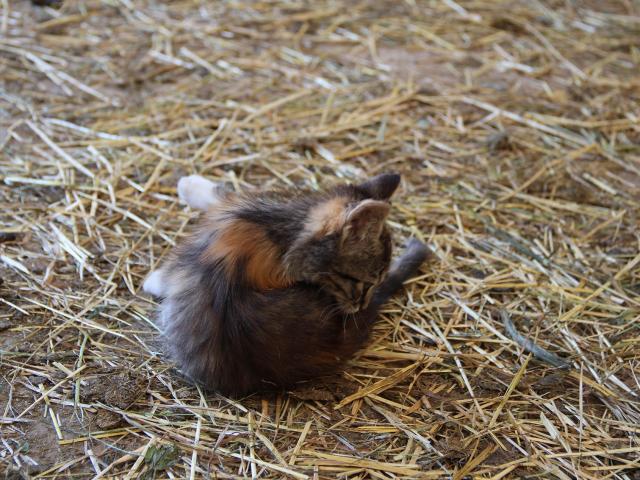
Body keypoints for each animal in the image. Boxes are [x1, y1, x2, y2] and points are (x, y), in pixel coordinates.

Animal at [142, 172, 428, 398]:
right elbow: (225, 195)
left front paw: (154, 281)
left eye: (371, 283)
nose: (361, 304)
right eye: (358, 281)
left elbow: (222, 197)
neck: (288, 229)